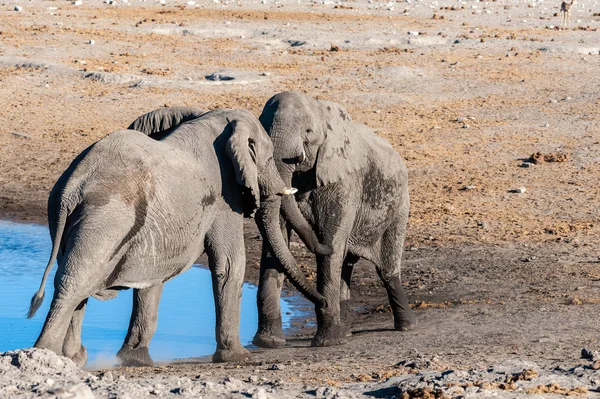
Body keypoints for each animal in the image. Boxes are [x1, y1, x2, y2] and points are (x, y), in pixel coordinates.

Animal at [28, 107, 328, 368]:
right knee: (76, 279)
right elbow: (230, 263)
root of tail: (72, 185)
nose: (324, 302)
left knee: (78, 277)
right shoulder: (224, 198)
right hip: (107, 216)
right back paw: (48, 355)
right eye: (266, 159)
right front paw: (239, 358)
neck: (217, 123)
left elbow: (152, 276)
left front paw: (136, 361)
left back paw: (73, 358)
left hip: (75, 216)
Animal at [251, 92, 414, 348]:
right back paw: (345, 331)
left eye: (308, 132)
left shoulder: (344, 181)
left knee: (386, 269)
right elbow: (274, 244)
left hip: (399, 205)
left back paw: (405, 326)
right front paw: (268, 343)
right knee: (345, 266)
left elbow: (333, 242)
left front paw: (327, 342)